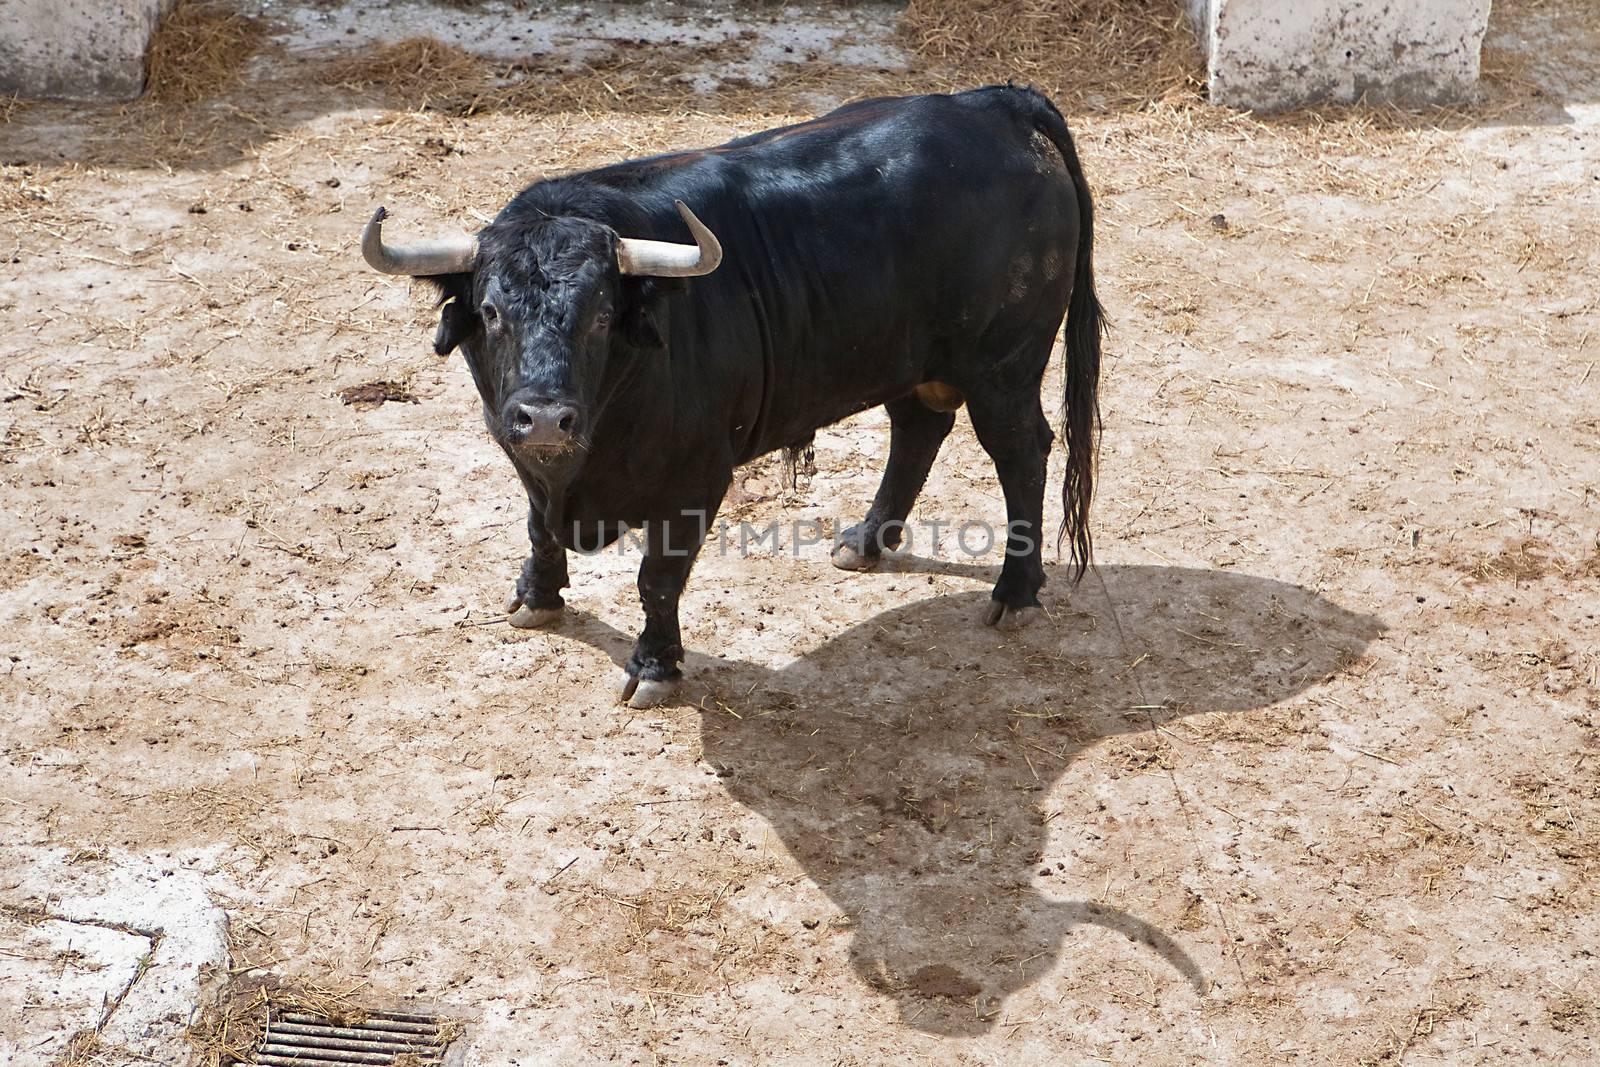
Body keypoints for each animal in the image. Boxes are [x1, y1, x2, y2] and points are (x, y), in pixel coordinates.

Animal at [368, 87, 1107, 703]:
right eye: (491, 311)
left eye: (603, 313)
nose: (546, 417)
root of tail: (996, 103)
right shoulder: (524, 455)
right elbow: (538, 528)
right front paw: (535, 597)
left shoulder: (694, 479)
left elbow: (658, 577)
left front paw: (655, 666)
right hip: (910, 359)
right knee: (918, 429)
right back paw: (866, 541)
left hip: (1004, 368)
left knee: (1021, 453)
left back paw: (1016, 592)